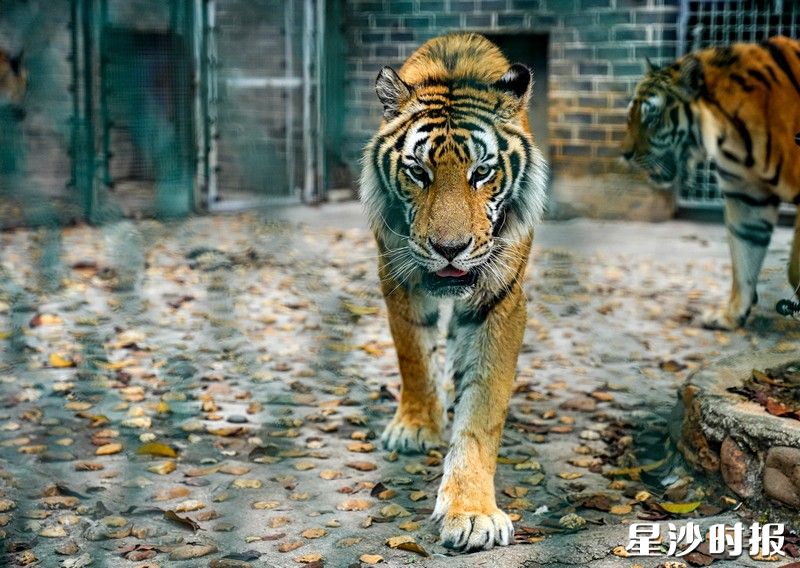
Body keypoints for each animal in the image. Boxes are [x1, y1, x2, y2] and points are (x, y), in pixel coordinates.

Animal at [360, 33, 547, 551]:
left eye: (481, 172)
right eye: (417, 172)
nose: (449, 249)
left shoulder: (499, 302)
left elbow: (481, 411)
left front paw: (472, 512)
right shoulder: (398, 278)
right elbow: (414, 357)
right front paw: (416, 426)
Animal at [622, 36, 800, 330]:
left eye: (652, 117)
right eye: (630, 116)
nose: (624, 154)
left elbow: (794, 266)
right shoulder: (747, 196)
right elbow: (745, 253)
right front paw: (731, 315)